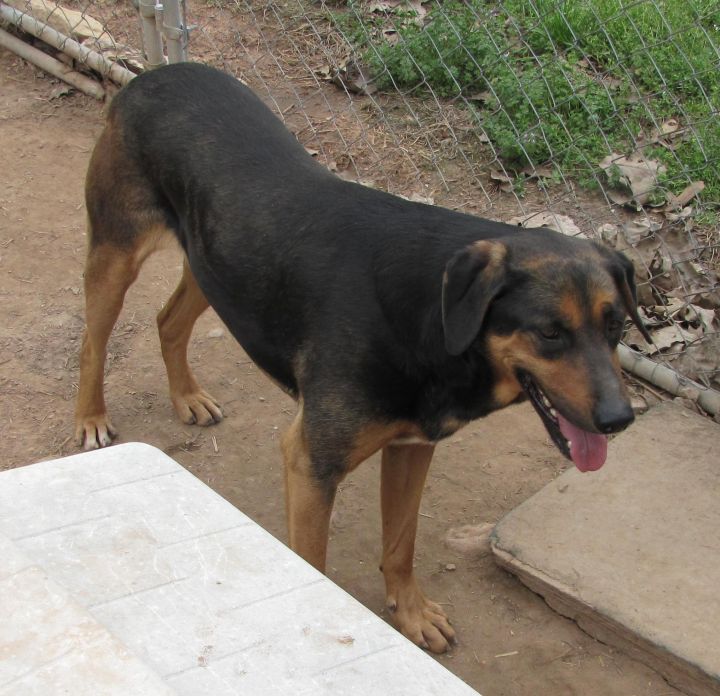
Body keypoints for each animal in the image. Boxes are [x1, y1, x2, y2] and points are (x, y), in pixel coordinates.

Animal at [76, 62, 648, 656]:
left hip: (212, 264)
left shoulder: (412, 446)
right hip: (116, 250)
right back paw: (91, 418)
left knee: (168, 321)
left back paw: (186, 396)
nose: (619, 420)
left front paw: (411, 614)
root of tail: (156, 73)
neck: (429, 319)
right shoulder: (311, 464)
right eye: (550, 333)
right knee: (93, 343)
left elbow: (401, 543)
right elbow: (315, 565)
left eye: (617, 326)